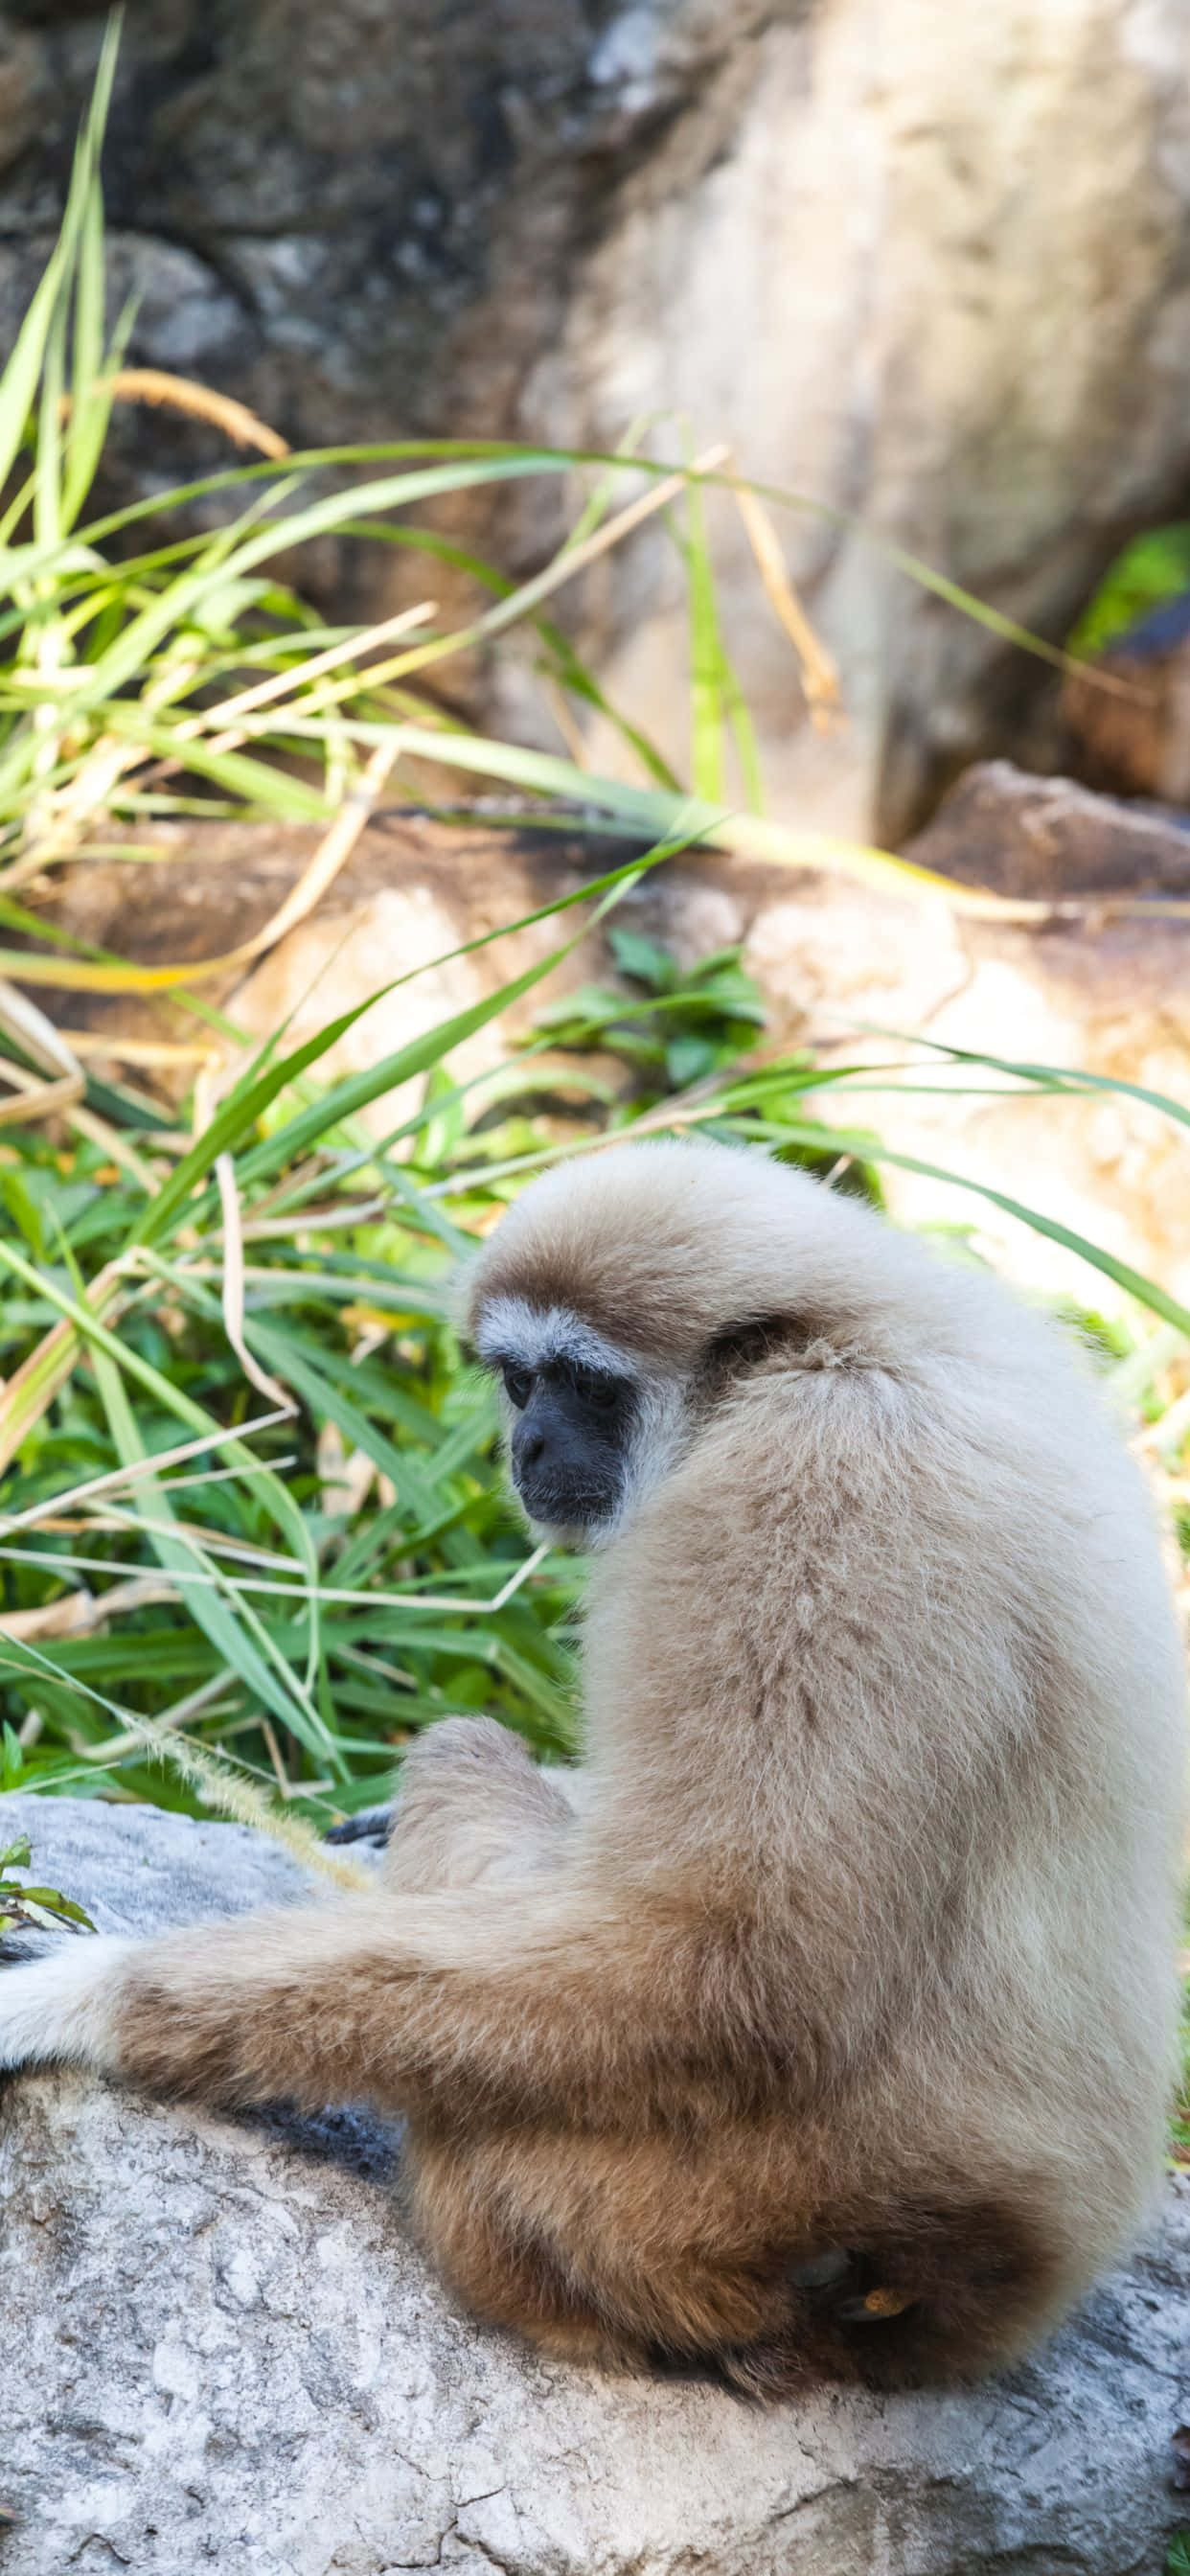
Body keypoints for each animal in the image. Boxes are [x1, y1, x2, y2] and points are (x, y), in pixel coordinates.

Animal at [0, 1137, 1185, 2393]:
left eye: (585, 1386)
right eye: (522, 1384)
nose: (525, 1444)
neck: (853, 1337)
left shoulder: (812, 1489)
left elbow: (719, 1963)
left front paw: (84, 1996)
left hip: (677, 2210)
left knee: (467, 1764)